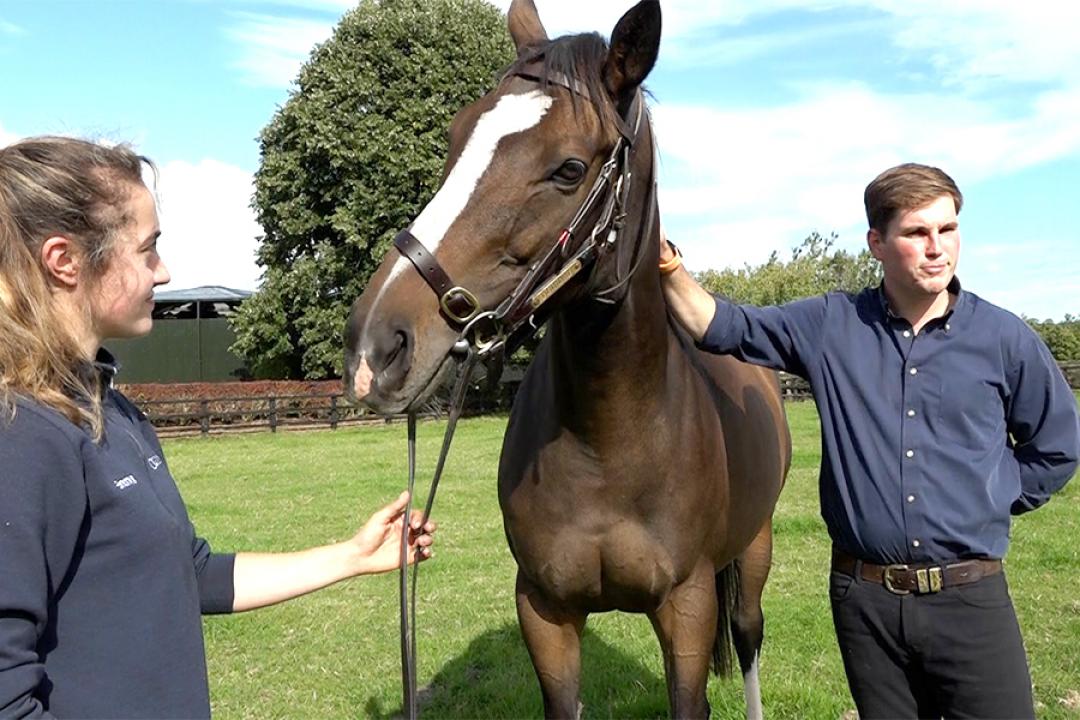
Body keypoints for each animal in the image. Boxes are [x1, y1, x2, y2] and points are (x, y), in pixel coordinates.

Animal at [343, 1, 791, 717]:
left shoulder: (688, 609)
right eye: (456, 137)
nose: (376, 346)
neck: (609, 445)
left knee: (748, 636)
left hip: (755, 545)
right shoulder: (544, 610)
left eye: (570, 169)